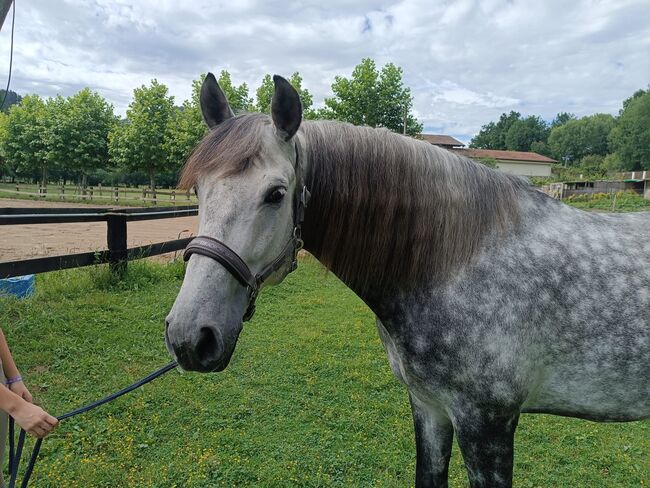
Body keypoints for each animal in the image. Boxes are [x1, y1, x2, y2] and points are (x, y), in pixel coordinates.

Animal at [163, 73, 648, 488]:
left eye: (277, 194)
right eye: (198, 191)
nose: (190, 337)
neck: (453, 263)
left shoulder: (487, 425)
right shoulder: (430, 408)